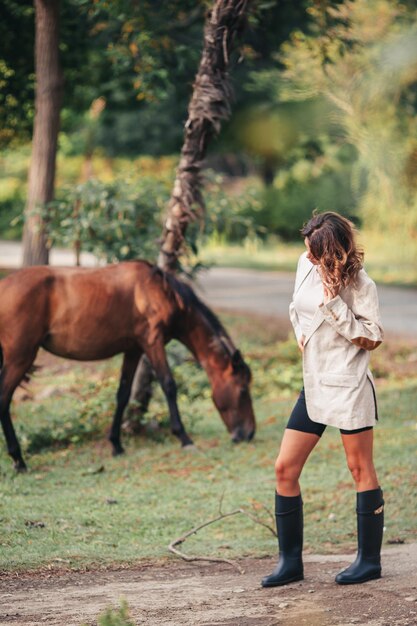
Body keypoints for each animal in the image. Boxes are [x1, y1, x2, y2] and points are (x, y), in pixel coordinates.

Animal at [0, 258, 254, 468]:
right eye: (242, 390)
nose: (249, 434)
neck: (161, 292)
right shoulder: (153, 343)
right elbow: (168, 385)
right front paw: (184, 438)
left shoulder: (133, 350)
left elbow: (123, 395)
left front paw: (116, 445)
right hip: (20, 357)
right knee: (4, 399)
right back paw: (18, 459)